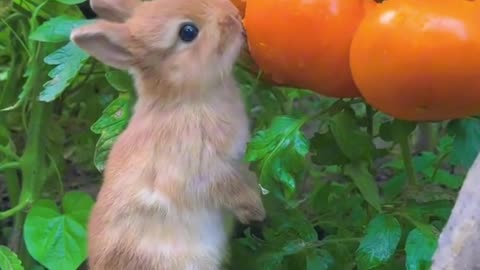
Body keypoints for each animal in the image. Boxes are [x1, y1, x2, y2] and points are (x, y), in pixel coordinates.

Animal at [70, 0, 266, 268]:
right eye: (188, 32)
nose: (233, 16)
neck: (185, 98)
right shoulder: (204, 167)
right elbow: (231, 189)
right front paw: (257, 210)